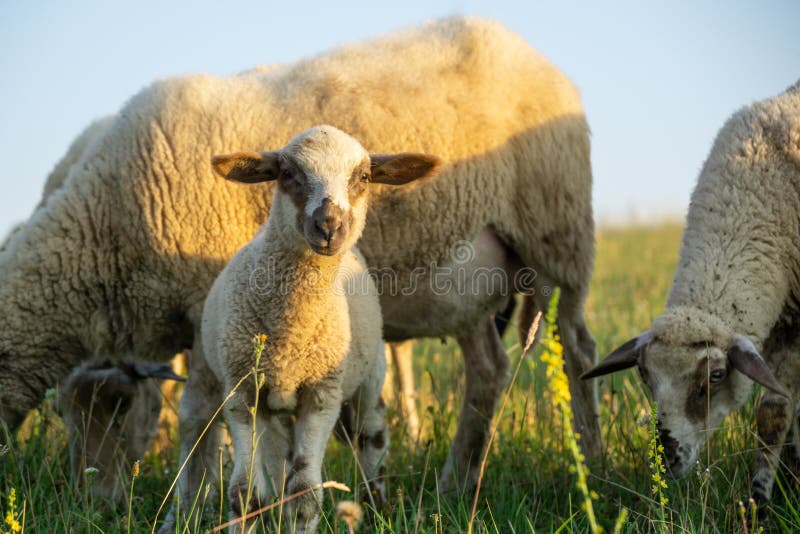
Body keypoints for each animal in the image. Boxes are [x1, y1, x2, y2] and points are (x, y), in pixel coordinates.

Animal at [195, 126, 438, 532]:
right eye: (287, 174)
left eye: (364, 177)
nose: (329, 226)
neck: (291, 335)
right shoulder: (242, 392)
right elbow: (245, 493)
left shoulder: (322, 394)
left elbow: (305, 494)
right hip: (275, 405)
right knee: (279, 460)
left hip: (368, 375)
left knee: (372, 435)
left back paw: (377, 503)